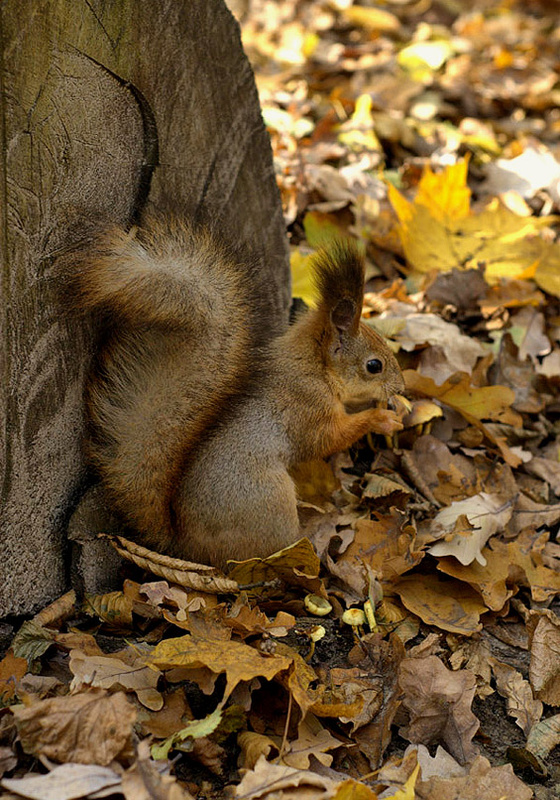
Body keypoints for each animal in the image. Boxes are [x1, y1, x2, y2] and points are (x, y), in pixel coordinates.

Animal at [65, 217, 404, 568]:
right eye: (374, 365)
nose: (401, 386)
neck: (314, 366)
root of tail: (186, 546)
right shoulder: (307, 408)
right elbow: (329, 439)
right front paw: (381, 418)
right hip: (269, 500)